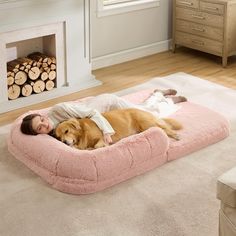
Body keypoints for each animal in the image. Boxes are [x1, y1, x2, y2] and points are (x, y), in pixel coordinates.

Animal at [54, 108, 183, 149]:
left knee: (165, 129)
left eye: (67, 131)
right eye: (59, 138)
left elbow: (97, 145)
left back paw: (176, 135)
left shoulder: (101, 136)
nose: (64, 142)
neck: (82, 134)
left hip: (147, 124)